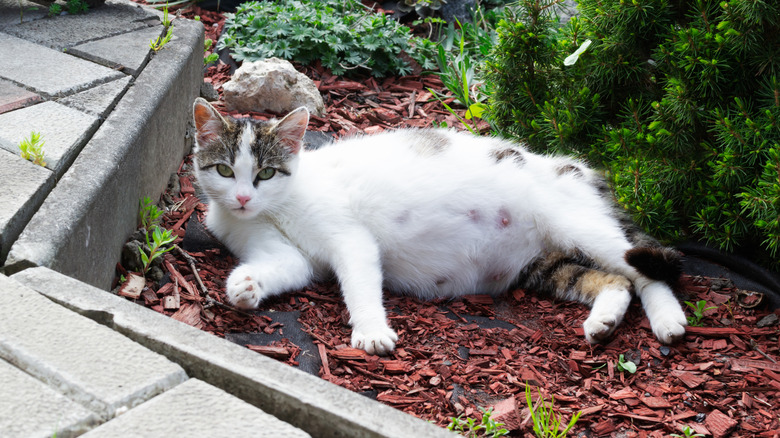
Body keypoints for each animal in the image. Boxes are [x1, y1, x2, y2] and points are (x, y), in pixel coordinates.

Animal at [192, 98, 684, 356]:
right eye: (224, 170)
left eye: (265, 174)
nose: (243, 198)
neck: (275, 208)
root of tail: (578, 170)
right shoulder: (288, 254)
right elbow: (283, 266)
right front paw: (245, 287)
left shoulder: (350, 239)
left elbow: (360, 281)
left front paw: (371, 331)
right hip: (544, 264)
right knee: (615, 279)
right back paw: (603, 321)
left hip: (578, 224)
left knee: (644, 269)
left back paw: (669, 319)